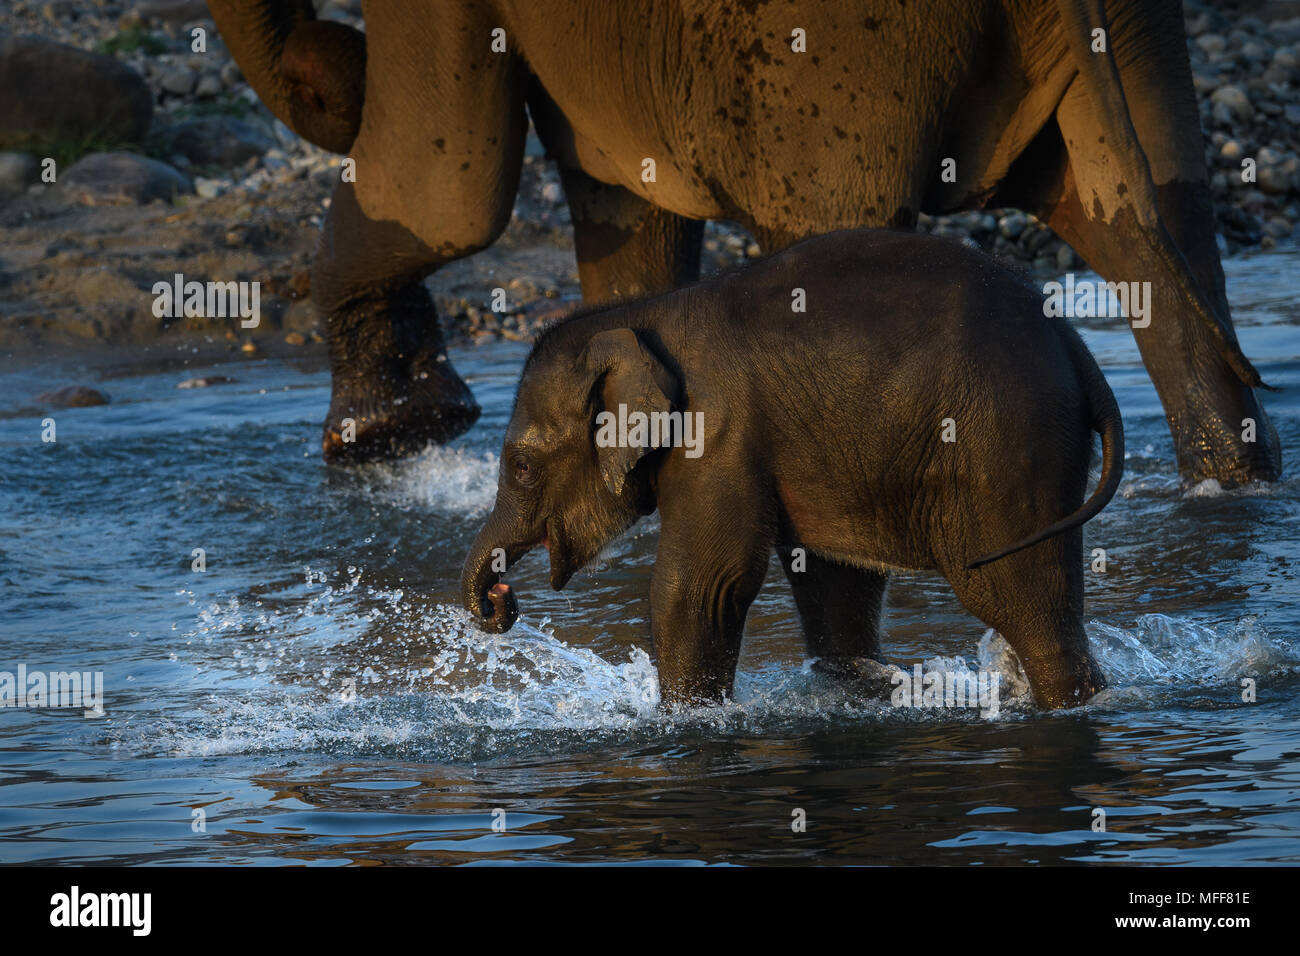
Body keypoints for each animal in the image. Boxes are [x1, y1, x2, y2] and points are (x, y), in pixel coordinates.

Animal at [210, 0, 1279, 481]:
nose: (333, 43)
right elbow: (623, 215)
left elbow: (443, 191)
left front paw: (388, 439)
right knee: (1158, 222)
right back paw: (1233, 486)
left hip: (840, 52)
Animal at [462, 230, 1123, 712]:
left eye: (522, 467)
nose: (499, 601)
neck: (642, 315)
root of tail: (1076, 347)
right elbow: (831, 584)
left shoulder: (717, 437)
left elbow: (700, 586)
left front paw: (685, 724)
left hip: (1006, 449)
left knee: (1020, 599)